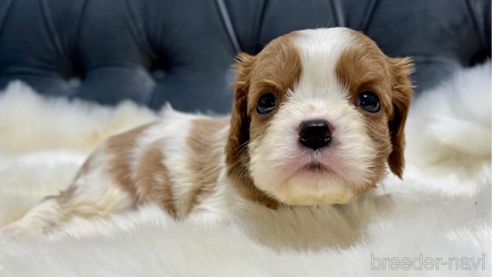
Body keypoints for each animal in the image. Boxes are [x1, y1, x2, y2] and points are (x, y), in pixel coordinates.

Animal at [1, 27, 414, 236]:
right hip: (104, 193)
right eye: (266, 102)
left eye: (369, 100)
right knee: (53, 205)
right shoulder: (214, 214)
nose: (314, 130)